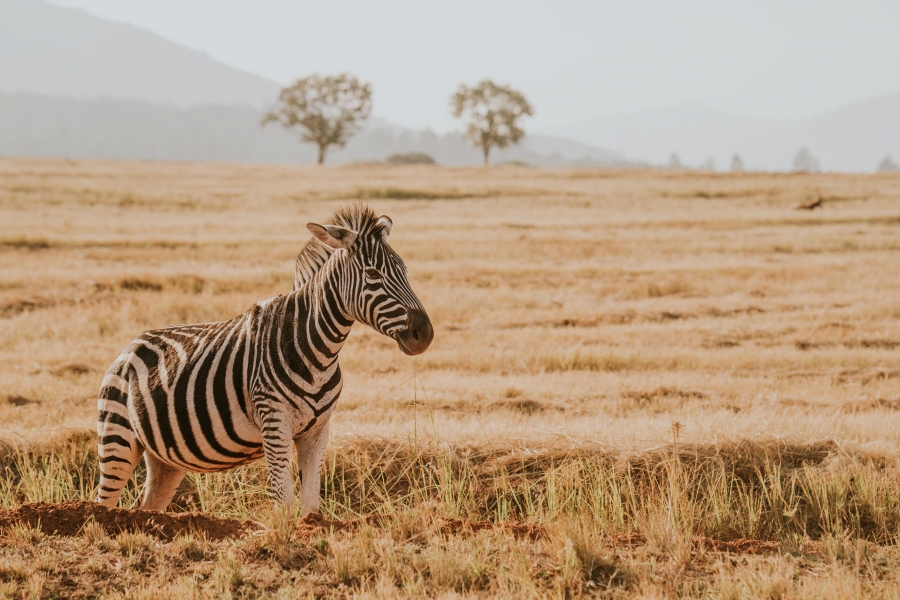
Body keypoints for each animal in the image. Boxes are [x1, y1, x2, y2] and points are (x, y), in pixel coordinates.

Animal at [95, 204, 432, 512]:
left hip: (165, 457)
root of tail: (129, 347)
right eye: (373, 274)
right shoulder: (274, 421)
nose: (424, 334)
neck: (317, 350)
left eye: (404, 270)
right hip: (117, 439)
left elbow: (311, 503)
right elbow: (283, 501)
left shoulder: (319, 430)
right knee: (103, 502)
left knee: (144, 506)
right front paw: (283, 539)